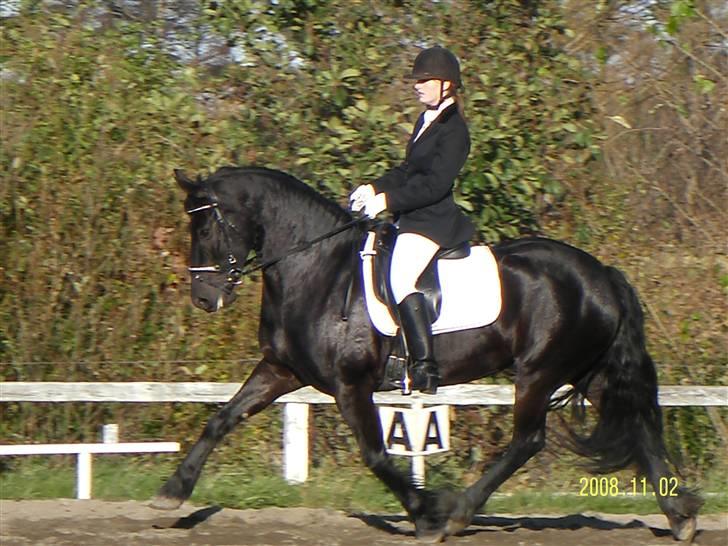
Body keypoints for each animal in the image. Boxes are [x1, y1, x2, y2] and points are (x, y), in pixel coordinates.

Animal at [152, 166, 700, 540]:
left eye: (206, 229)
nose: (204, 300)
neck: (317, 268)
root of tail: (601, 273)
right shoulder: (282, 370)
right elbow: (222, 419)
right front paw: (172, 492)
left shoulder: (350, 384)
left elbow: (375, 454)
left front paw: (426, 513)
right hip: (593, 371)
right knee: (639, 427)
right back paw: (681, 516)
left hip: (539, 371)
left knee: (528, 441)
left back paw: (457, 514)